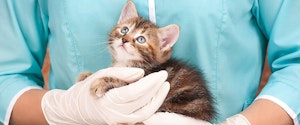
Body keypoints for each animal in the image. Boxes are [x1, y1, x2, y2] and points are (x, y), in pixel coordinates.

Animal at [78, 0, 214, 121]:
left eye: (141, 39)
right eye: (124, 30)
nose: (124, 39)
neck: (124, 64)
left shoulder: (145, 83)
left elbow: (123, 83)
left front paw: (102, 82)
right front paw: (85, 76)